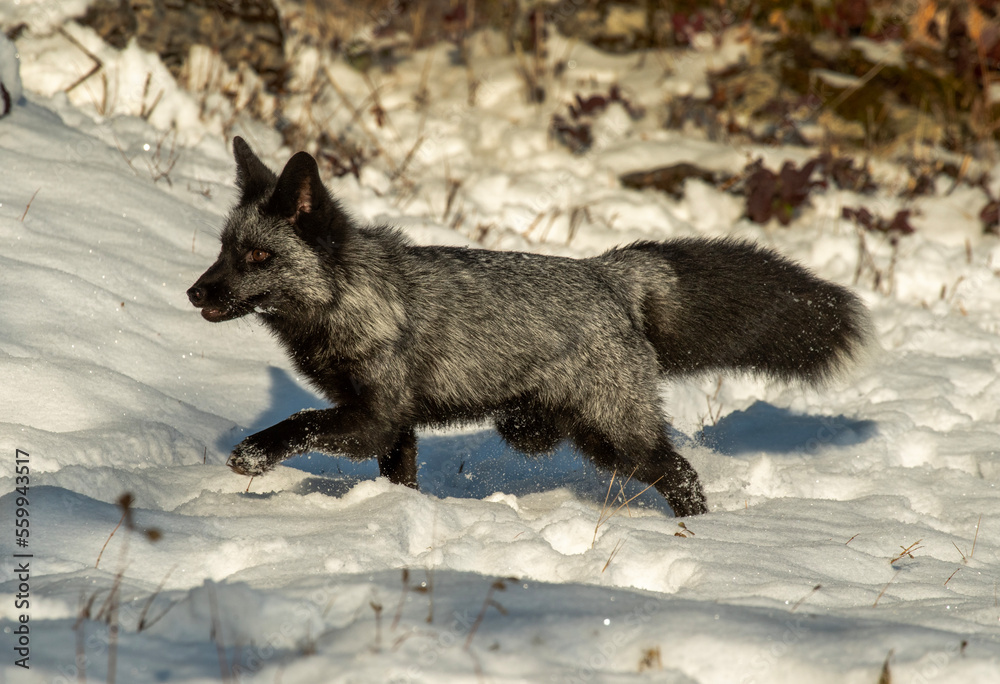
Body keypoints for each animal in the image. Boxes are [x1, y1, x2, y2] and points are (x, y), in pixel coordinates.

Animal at [187, 137, 873, 517]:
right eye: (223, 250)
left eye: (258, 257)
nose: (194, 292)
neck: (345, 302)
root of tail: (608, 271)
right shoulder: (396, 429)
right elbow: (399, 478)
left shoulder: (373, 417)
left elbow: (300, 422)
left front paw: (253, 455)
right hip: (555, 432)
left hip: (616, 437)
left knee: (680, 472)